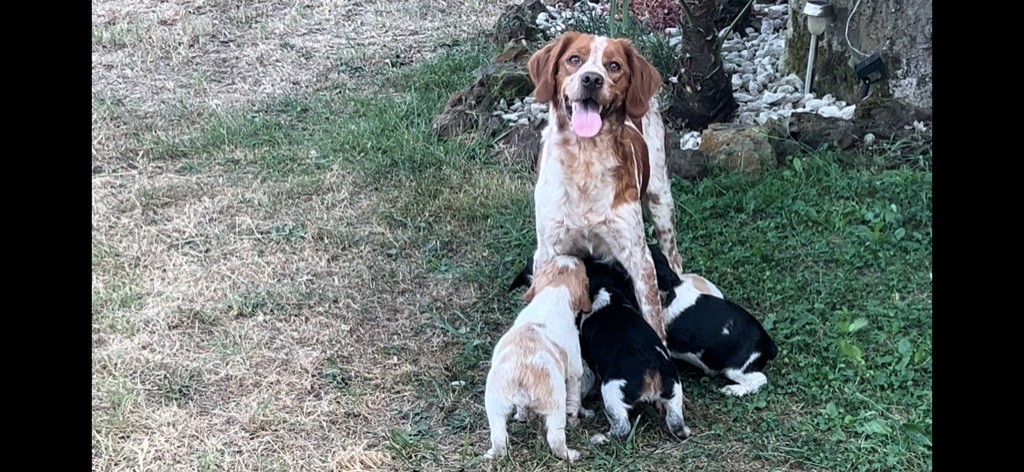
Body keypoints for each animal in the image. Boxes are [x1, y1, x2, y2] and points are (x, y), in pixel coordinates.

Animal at [485, 253, 593, 460]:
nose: (572, 255)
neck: (554, 292)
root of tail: (521, 374)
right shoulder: (575, 371)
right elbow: (574, 401)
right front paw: (576, 419)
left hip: (494, 405)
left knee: (499, 439)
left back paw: (492, 453)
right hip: (555, 407)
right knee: (556, 440)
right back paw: (571, 455)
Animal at [507, 255, 692, 440]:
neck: (605, 287)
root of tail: (651, 368)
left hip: (611, 392)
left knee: (622, 427)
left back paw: (600, 438)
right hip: (673, 389)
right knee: (676, 420)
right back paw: (684, 431)